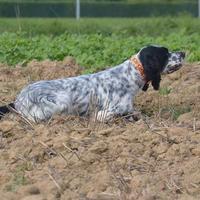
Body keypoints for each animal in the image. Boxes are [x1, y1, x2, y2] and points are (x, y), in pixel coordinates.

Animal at [0, 45, 184, 122]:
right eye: (166, 53)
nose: (183, 52)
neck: (128, 76)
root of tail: (18, 101)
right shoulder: (112, 109)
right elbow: (106, 115)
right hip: (61, 101)